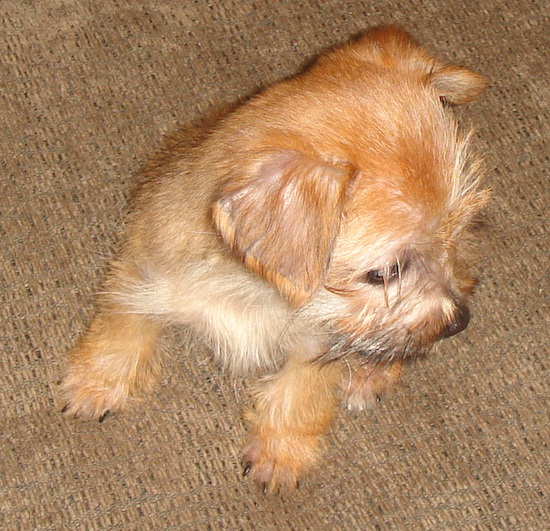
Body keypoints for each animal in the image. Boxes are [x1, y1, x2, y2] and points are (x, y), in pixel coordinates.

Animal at [61, 26, 492, 494]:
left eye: (460, 226)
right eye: (383, 273)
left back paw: (372, 373)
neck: (256, 291)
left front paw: (281, 452)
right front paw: (98, 383)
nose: (459, 322)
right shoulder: (142, 266)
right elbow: (122, 322)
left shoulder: (321, 342)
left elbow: (301, 394)